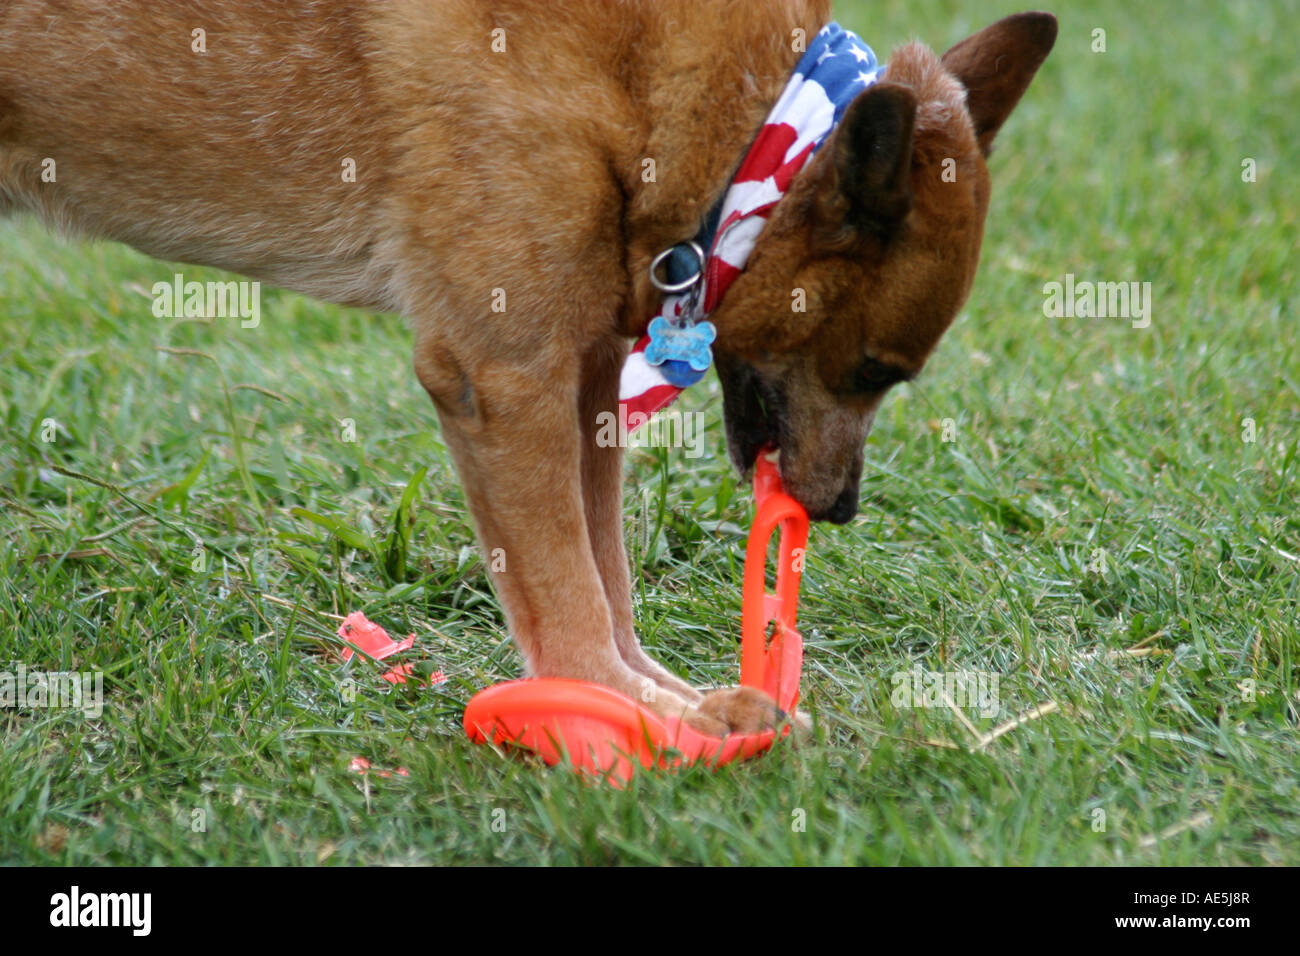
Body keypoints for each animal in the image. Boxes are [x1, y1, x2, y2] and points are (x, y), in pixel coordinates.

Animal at [2, 1, 1055, 733]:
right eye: (877, 370)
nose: (837, 509)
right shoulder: (504, 377)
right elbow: (568, 591)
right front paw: (625, 710)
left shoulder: (585, 377)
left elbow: (606, 577)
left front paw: (653, 698)